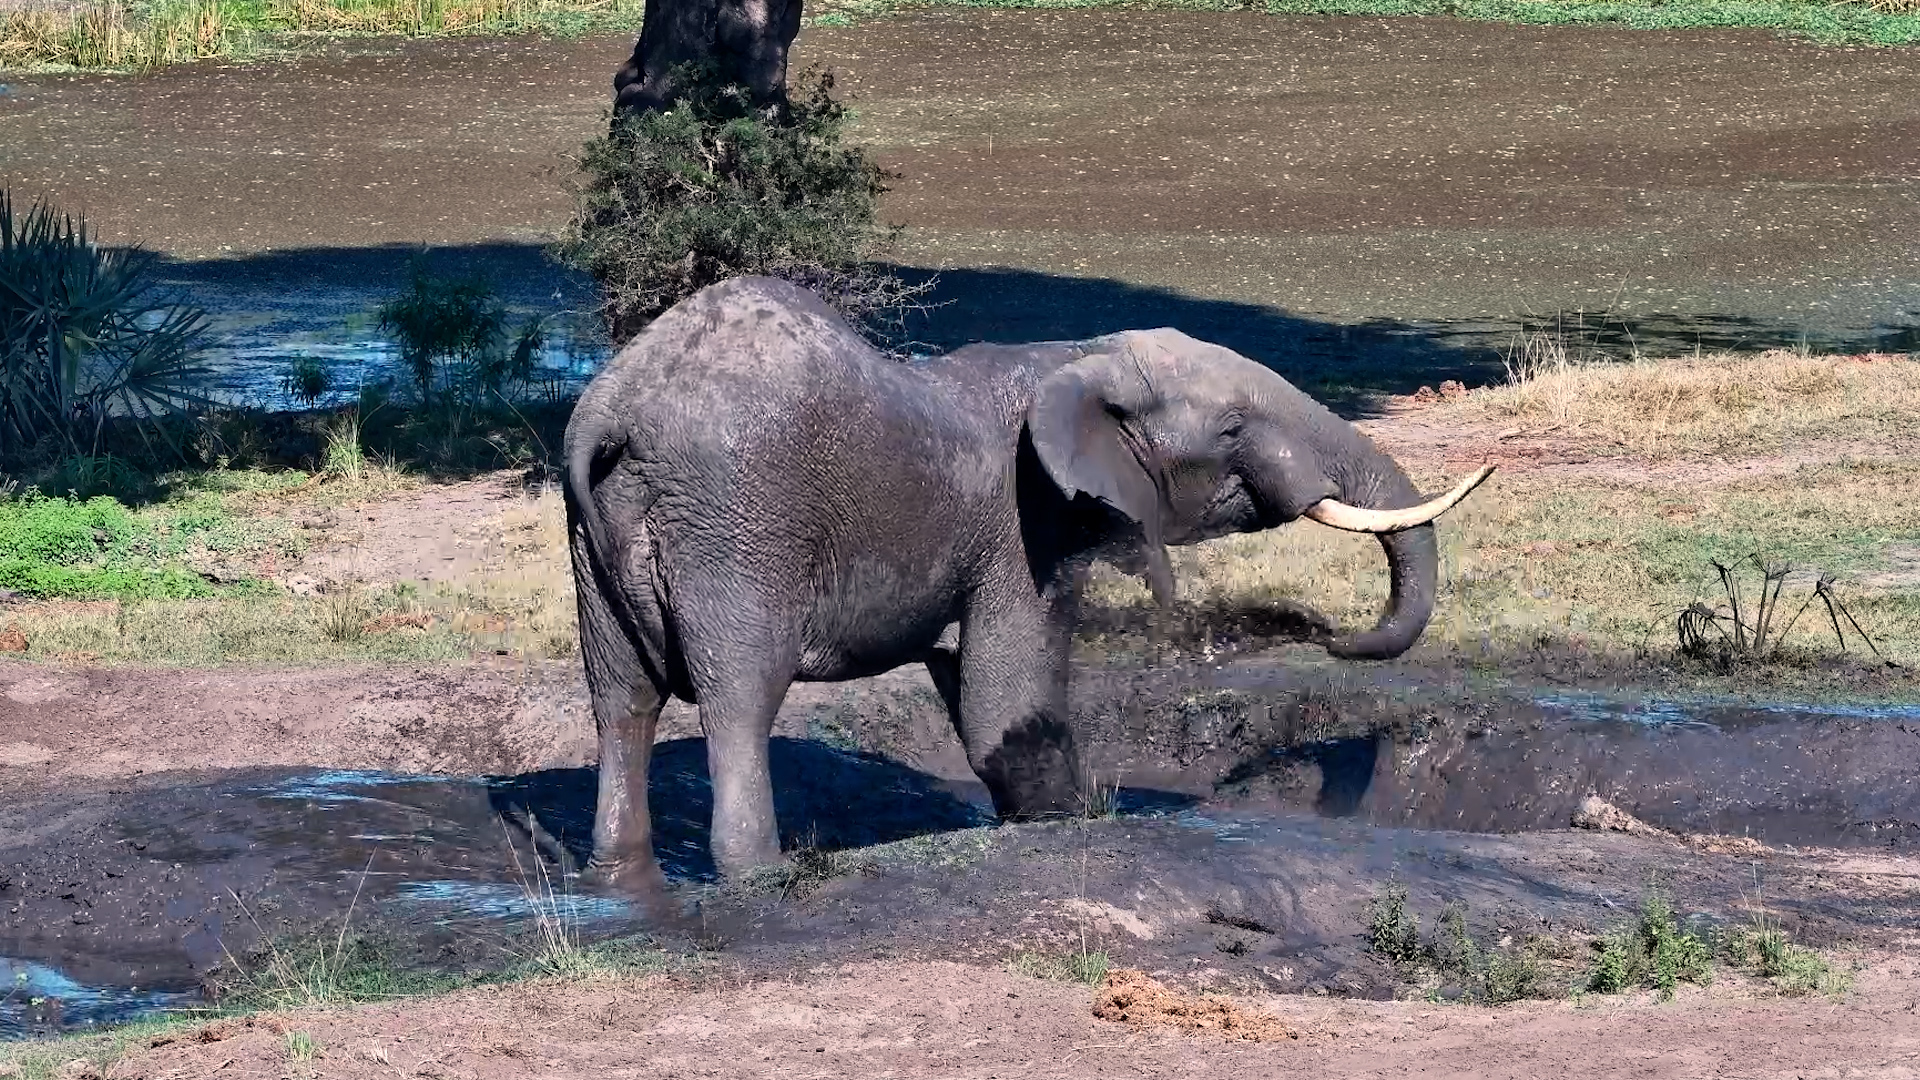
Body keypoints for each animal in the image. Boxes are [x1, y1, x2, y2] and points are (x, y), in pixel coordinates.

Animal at [562, 275, 1490, 893]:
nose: (1336, 637)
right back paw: (760, 873)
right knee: (739, 698)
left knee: (621, 700)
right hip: (737, 524)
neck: (1080, 358)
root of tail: (616, 411)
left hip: (593, 538)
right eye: (1231, 430)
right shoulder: (1023, 526)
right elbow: (1006, 701)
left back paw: (617, 878)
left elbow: (968, 681)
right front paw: (1075, 818)